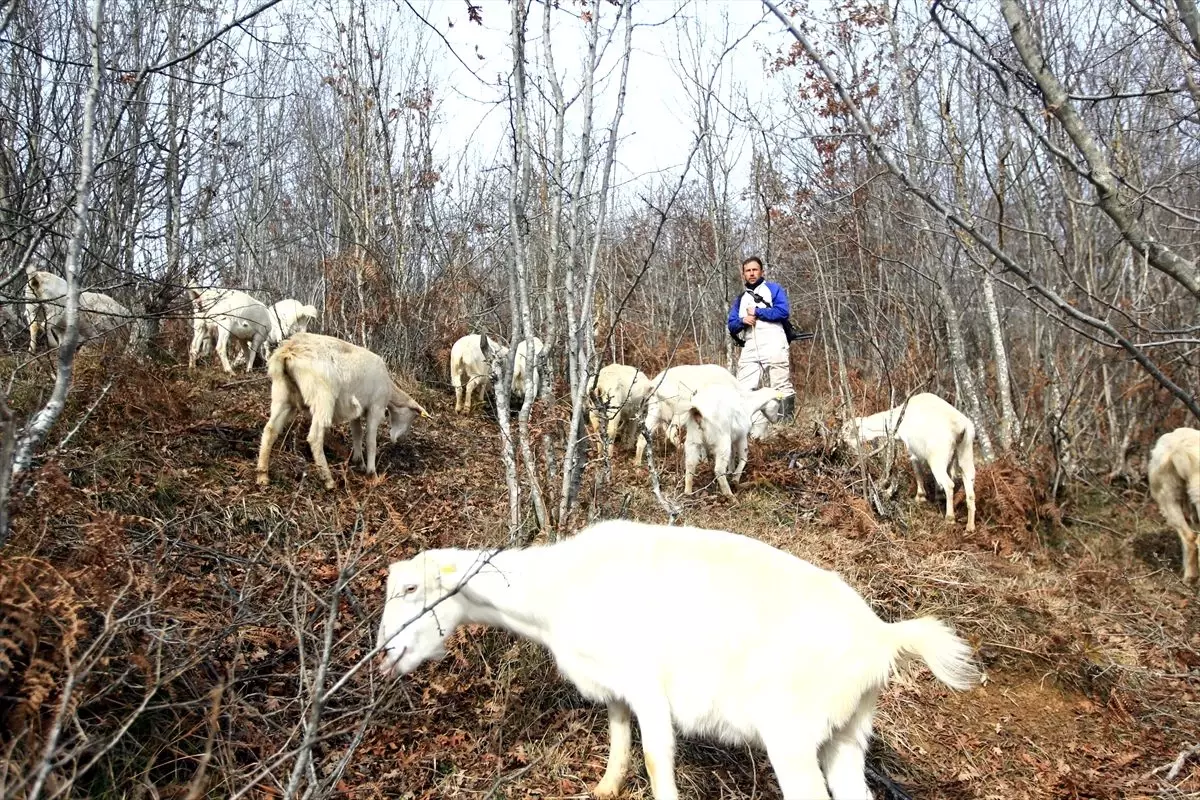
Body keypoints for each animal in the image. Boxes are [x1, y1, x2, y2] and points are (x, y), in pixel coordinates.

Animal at [255, 331, 434, 489]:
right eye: (412, 417)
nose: (399, 440)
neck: (390, 391)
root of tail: (289, 350)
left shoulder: (355, 412)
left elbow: (357, 433)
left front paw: (359, 462)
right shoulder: (375, 408)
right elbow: (370, 440)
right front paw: (372, 473)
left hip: (283, 396)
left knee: (270, 429)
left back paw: (262, 475)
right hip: (322, 397)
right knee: (315, 437)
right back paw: (328, 480)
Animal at [379, 520, 979, 800]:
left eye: (410, 588)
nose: (383, 655)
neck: (558, 589)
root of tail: (881, 636)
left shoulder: (648, 688)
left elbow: (655, 759)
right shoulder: (615, 687)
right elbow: (619, 739)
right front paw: (604, 787)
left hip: (792, 732)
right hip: (848, 731)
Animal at [840, 393, 979, 532]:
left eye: (847, 430)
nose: (843, 443)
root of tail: (960, 427)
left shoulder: (913, 450)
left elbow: (917, 471)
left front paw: (919, 497)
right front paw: (938, 497)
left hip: (937, 457)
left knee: (949, 484)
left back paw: (949, 519)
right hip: (966, 450)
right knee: (969, 480)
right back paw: (970, 526)